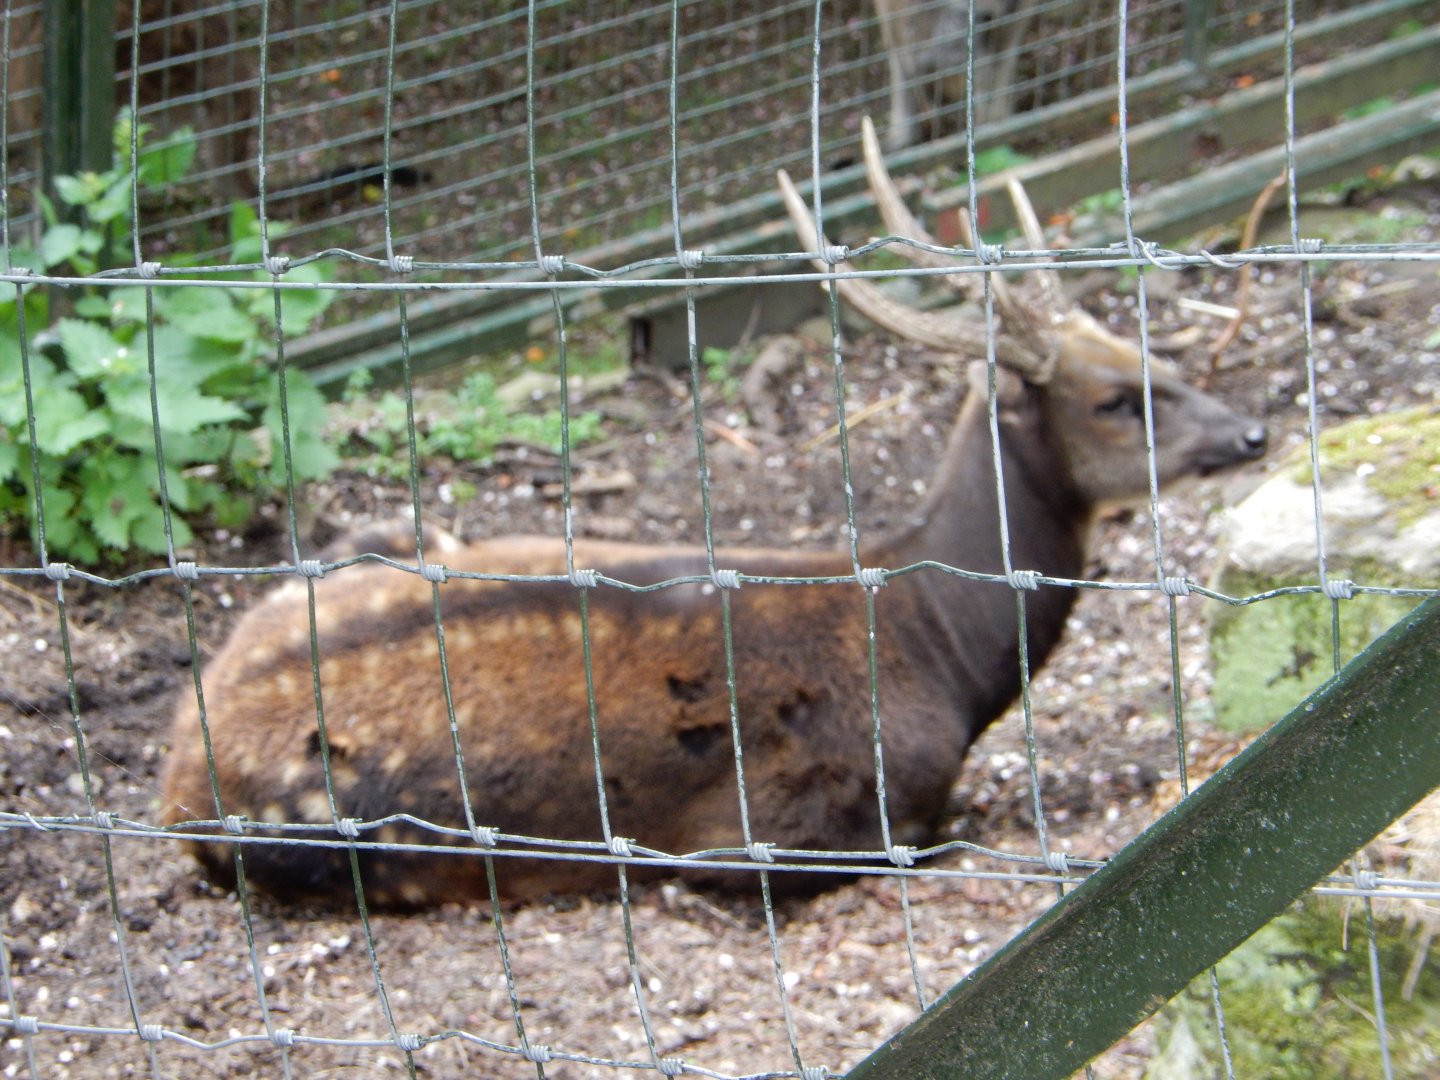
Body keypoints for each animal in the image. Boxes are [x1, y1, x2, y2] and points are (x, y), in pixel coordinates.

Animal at [162, 118, 1267, 907]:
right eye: (1114, 399)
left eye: (1146, 348)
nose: (1253, 432)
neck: (944, 655)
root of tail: (176, 783)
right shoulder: (770, 828)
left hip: (389, 541)